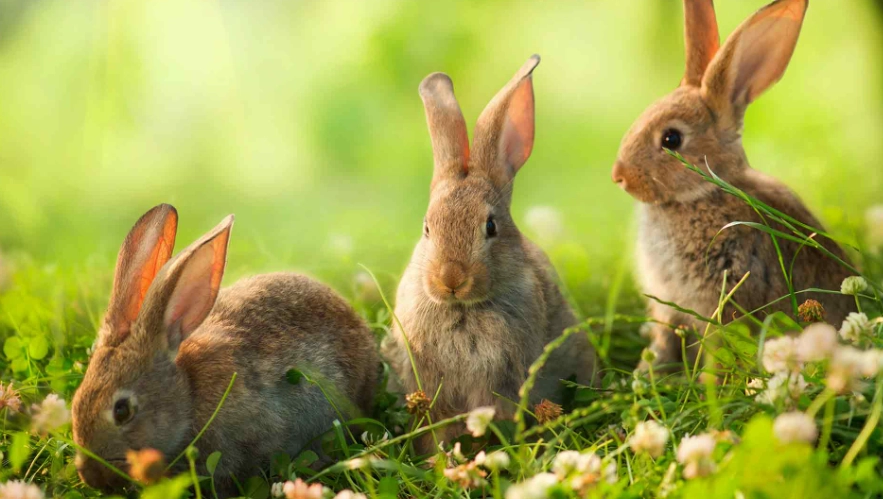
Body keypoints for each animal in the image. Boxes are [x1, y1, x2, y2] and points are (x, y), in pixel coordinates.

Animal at [611, 0, 854, 370]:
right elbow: (664, 339)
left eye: (671, 139)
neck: (702, 194)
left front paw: (707, 379)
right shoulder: (668, 305)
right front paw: (648, 371)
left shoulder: (727, 296)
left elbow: (720, 347)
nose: (619, 175)